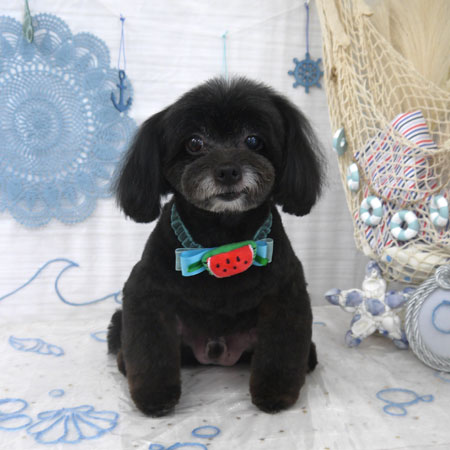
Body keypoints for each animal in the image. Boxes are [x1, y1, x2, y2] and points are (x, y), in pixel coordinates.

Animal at [107, 77, 324, 417]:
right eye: (195, 143)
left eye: (253, 140)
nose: (227, 171)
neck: (222, 237)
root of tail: (218, 354)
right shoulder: (146, 293)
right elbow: (149, 349)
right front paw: (154, 397)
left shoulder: (286, 293)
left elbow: (281, 348)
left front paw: (275, 394)